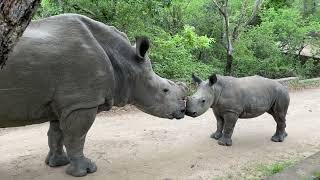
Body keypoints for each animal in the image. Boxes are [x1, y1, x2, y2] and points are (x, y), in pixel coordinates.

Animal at [0, 14, 188, 177]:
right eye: (165, 90)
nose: (183, 110)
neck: (125, 61)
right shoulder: (82, 102)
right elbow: (76, 136)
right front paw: (85, 171)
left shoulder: (66, 102)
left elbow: (56, 133)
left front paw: (58, 163)